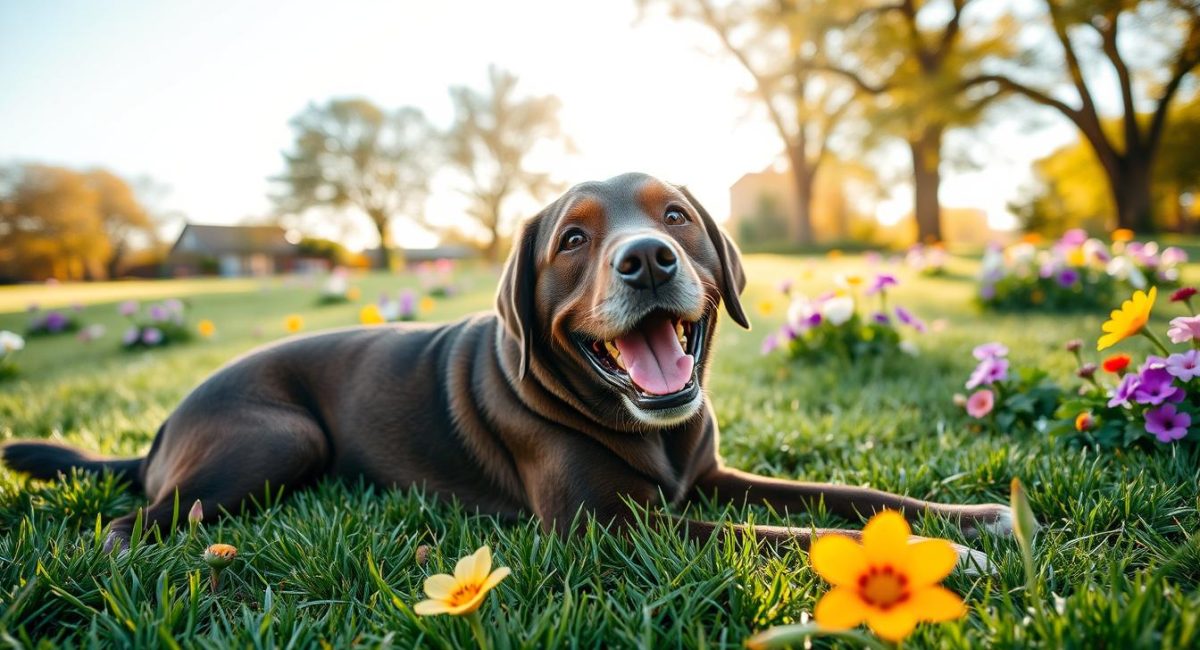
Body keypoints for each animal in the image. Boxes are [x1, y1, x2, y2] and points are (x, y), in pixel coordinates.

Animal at [2, 171, 1012, 570]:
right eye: (573, 240)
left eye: (677, 216)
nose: (648, 260)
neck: (648, 431)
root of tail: (158, 432)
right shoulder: (608, 528)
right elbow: (783, 535)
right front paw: (944, 555)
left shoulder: (711, 477)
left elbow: (849, 496)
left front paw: (977, 519)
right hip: (276, 437)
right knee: (124, 529)